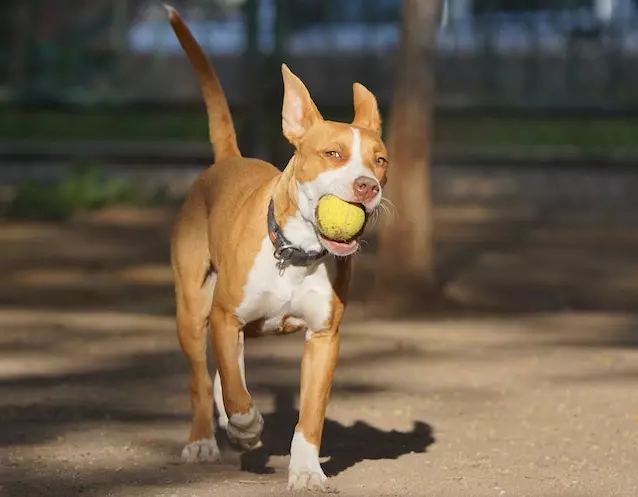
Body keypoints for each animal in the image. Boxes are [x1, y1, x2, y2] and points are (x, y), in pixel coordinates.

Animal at [165, 4, 390, 492]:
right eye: (332, 154)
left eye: (380, 160)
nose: (369, 185)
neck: (296, 254)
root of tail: (228, 161)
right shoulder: (225, 316)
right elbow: (234, 388)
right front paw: (245, 425)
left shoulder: (324, 338)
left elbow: (311, 414)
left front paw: (306, 471)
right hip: (193, 307)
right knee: (201, 377)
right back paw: (205, 439)